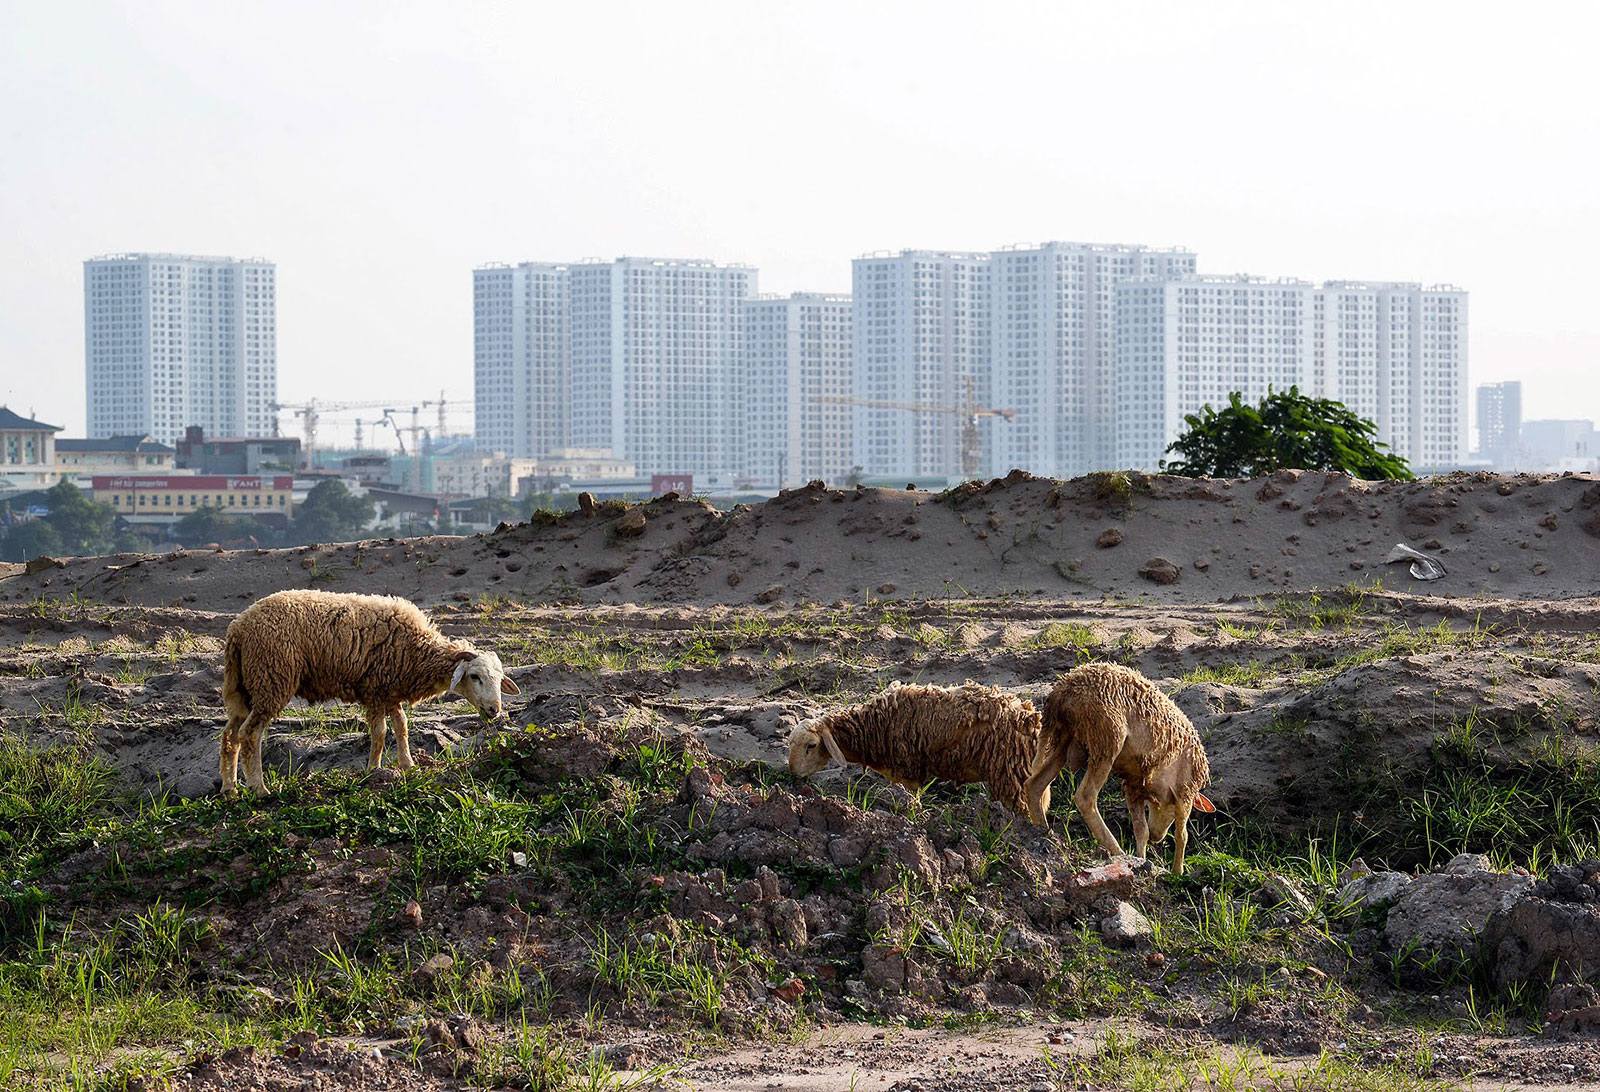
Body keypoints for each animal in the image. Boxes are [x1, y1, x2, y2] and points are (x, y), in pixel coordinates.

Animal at [216, 586, 518, 790]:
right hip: (270, 677)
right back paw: (258, 788)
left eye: (499, 678)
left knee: (230, 735)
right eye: (475, 676)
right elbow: (381, 732)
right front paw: (375, 769)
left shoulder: (390, 690)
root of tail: (238, 628)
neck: (418, 652)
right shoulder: (374, 689)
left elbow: (401, 725)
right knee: (250, 734)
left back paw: (230, 790)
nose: (495, 709)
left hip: (244, 687)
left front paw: (408, 765)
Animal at [790, 678, 1043, 816]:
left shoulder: (909, 770)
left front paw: (914, 818)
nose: (793, 775)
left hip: (1009, 775)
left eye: (811, 745)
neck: (870, 727)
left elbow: (913, 802)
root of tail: (1030, 717)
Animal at [1024, 659, 1209, 871]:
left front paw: (1141, 860)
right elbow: (1182, 835)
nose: (1158, 837)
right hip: (1107, 738)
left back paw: (1043, 830)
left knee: (1034, 785)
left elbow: (1141, 830)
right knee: (1085, 797)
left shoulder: (1134, 786)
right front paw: (1178, 871)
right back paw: (1116, 850)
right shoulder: (1184, 793)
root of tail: (1060, 693)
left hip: (1066, 737)